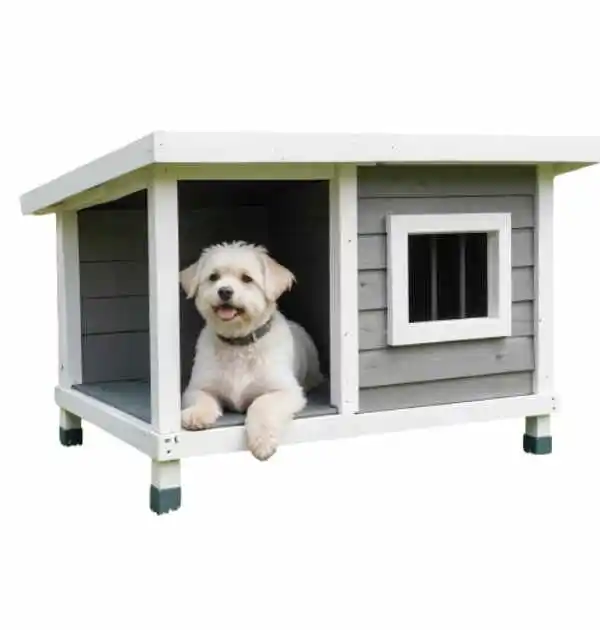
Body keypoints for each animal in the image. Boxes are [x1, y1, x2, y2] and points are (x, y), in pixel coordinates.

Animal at [178, 241, 324, 460]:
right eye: (213, 277)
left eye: (247, 278)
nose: (225, 291)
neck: (239, 343)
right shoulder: (197, 387)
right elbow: (203, 398)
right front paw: (197, 414)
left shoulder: (286, 391)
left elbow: (261, 404)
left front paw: (262, 441)